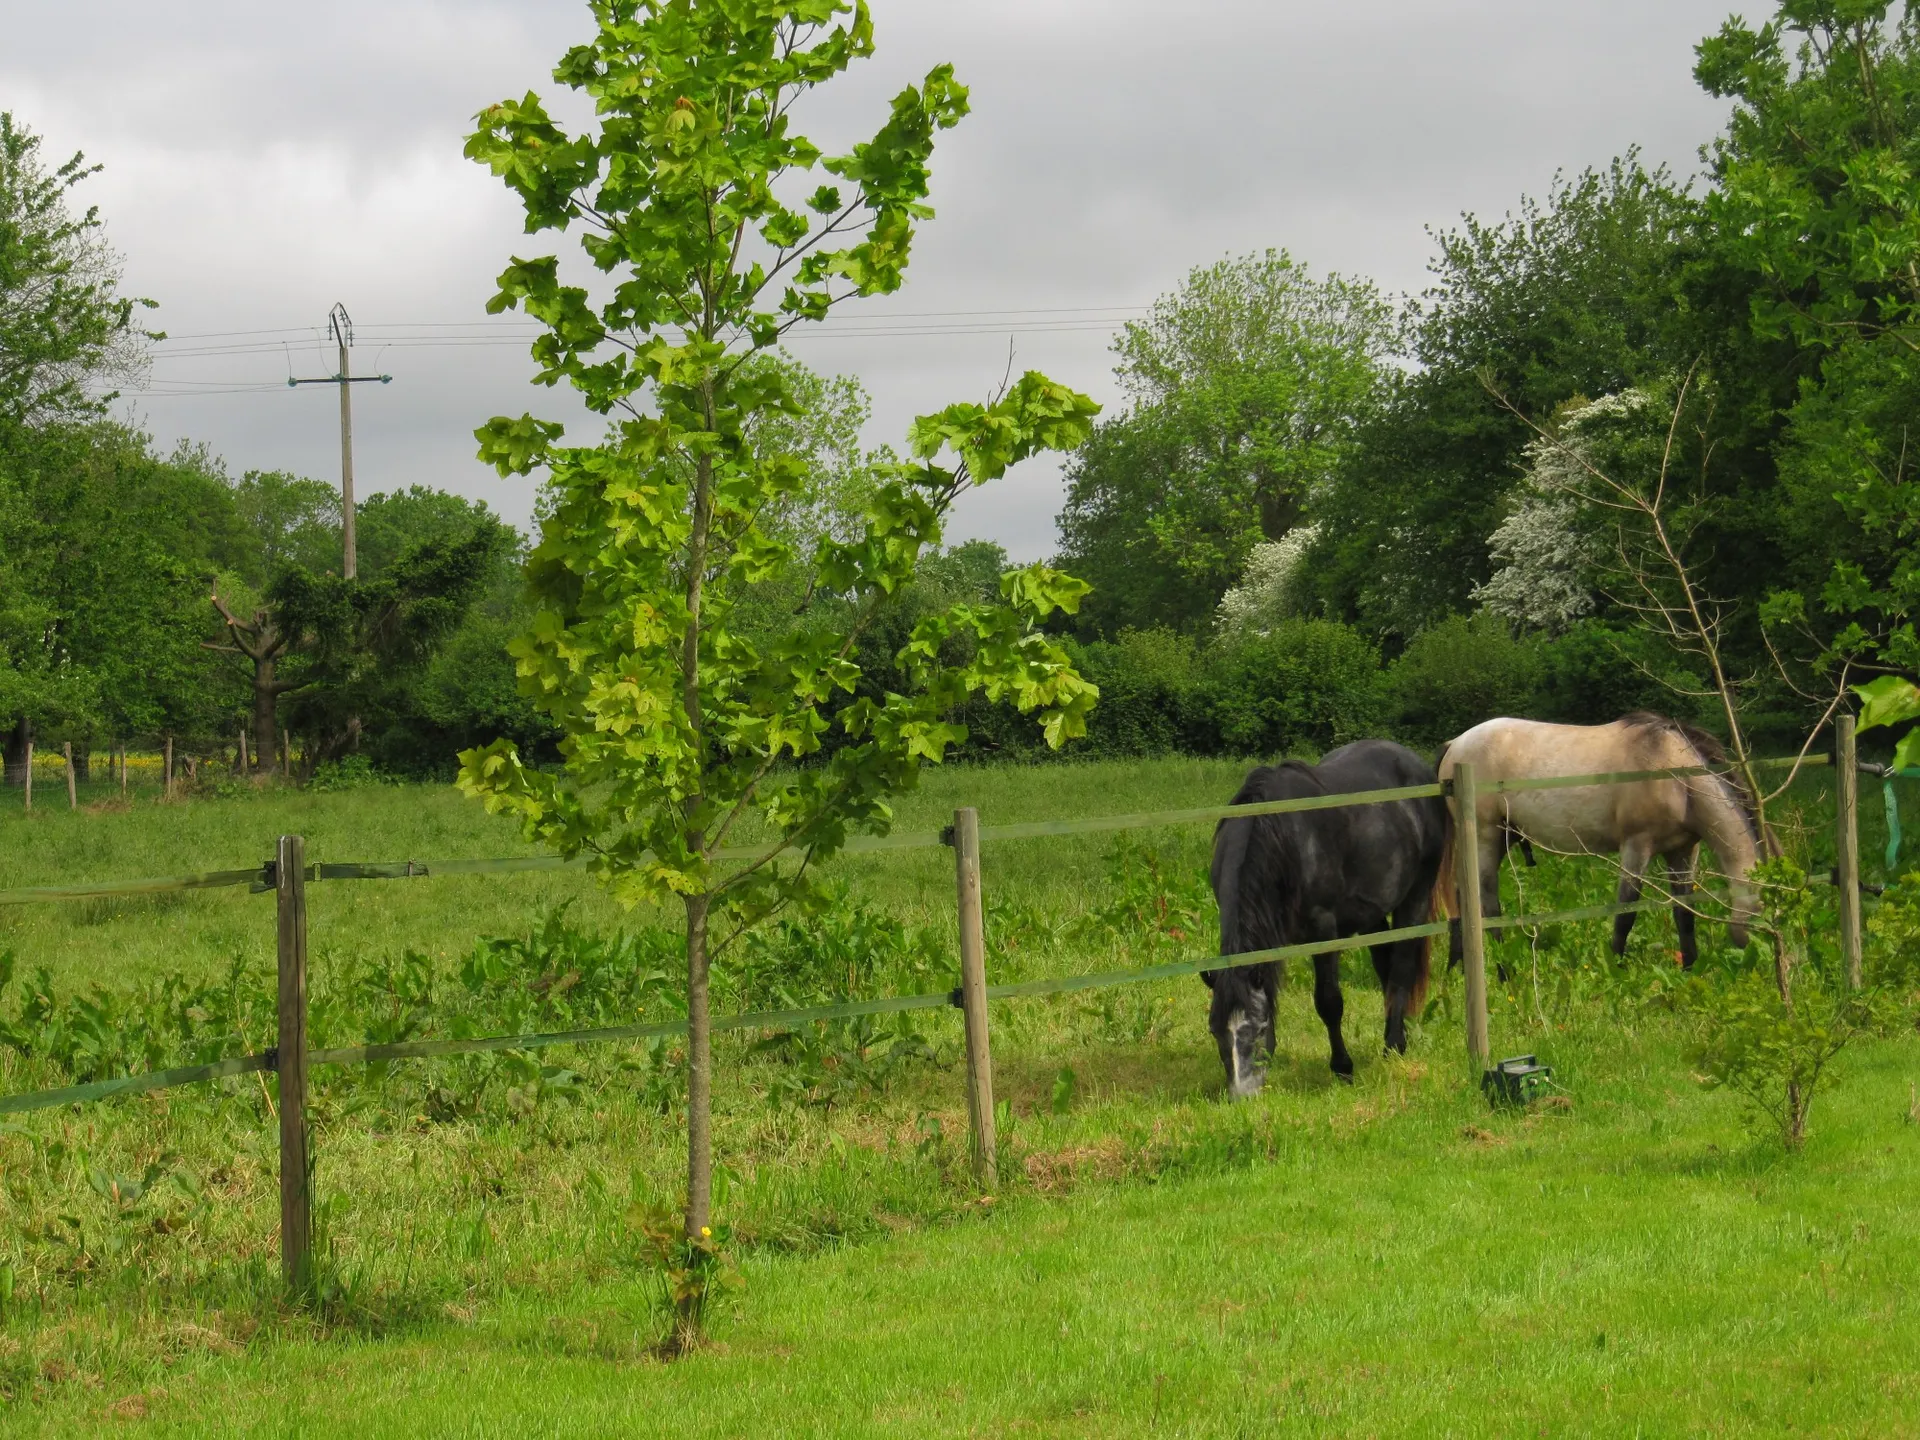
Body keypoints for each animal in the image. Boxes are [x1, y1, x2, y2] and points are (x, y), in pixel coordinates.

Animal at [1207, 739, 1451, 1097]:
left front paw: (1343, 1068)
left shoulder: (1323, 932)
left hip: (1416, 897)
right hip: (1372, 914)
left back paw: (1393, 1046)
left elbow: (1329, 1002)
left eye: (1257, 1027)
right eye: (1215, 1030)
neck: (1287, 839)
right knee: (1386, 967)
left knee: (1402, 968)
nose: (1242, 1095)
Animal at [1437, 712, 1759, 970]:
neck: (1673, 773)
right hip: (1486, 838)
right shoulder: (1636, 846)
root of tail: (1456, 744)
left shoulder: (1683, 851)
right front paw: (1616, 967)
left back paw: (1460, 967)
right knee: (1488, 903)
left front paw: (1690, 968)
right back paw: (1505, 971)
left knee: (1463, 897)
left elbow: (1684, 912)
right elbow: (1626, 912)